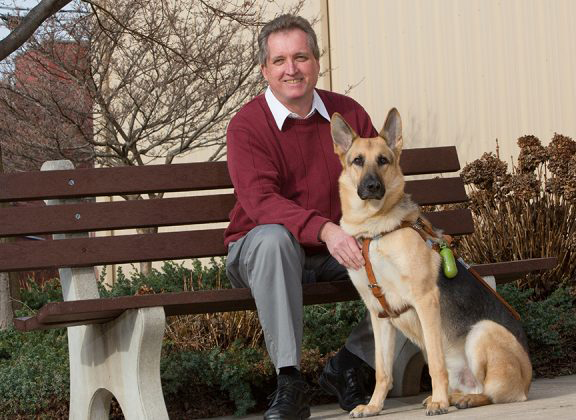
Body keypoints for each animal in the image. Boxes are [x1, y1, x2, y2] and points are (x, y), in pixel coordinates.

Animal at [330, 109, 532, 416]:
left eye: (383, 160)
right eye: (358, 161)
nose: (372, 186)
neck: (376, 230)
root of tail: (528, 379)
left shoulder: (425, 300)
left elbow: (437, 364)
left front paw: (439, 402)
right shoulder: (380, 314)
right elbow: (383, 371)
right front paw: (374, 406)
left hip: (483, 330)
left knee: (493, 392)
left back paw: (460, 399)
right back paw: (455, 396)